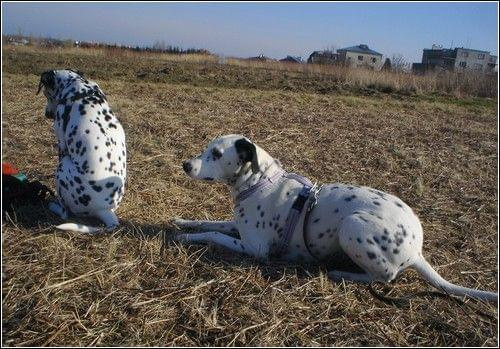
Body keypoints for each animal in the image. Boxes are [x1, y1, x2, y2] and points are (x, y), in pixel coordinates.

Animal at [37, 68, 126, 232]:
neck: (81, 89)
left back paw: (53, 206)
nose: (47, 114)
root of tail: (105, 211)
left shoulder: (62, 144)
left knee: (65, 213)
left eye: (46, 93)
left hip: (62, 167)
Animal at [174, 135, 498, 300]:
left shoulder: (255, 249)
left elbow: (213, 234)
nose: (185, 164)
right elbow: (211, 222)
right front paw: (182, 222)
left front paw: (184, 237)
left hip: (351, 226)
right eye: (206, 148)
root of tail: (416, 251)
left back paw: (342, 273)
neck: (259, 181)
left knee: (385, 277)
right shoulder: (237, 227)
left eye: (216, 154)